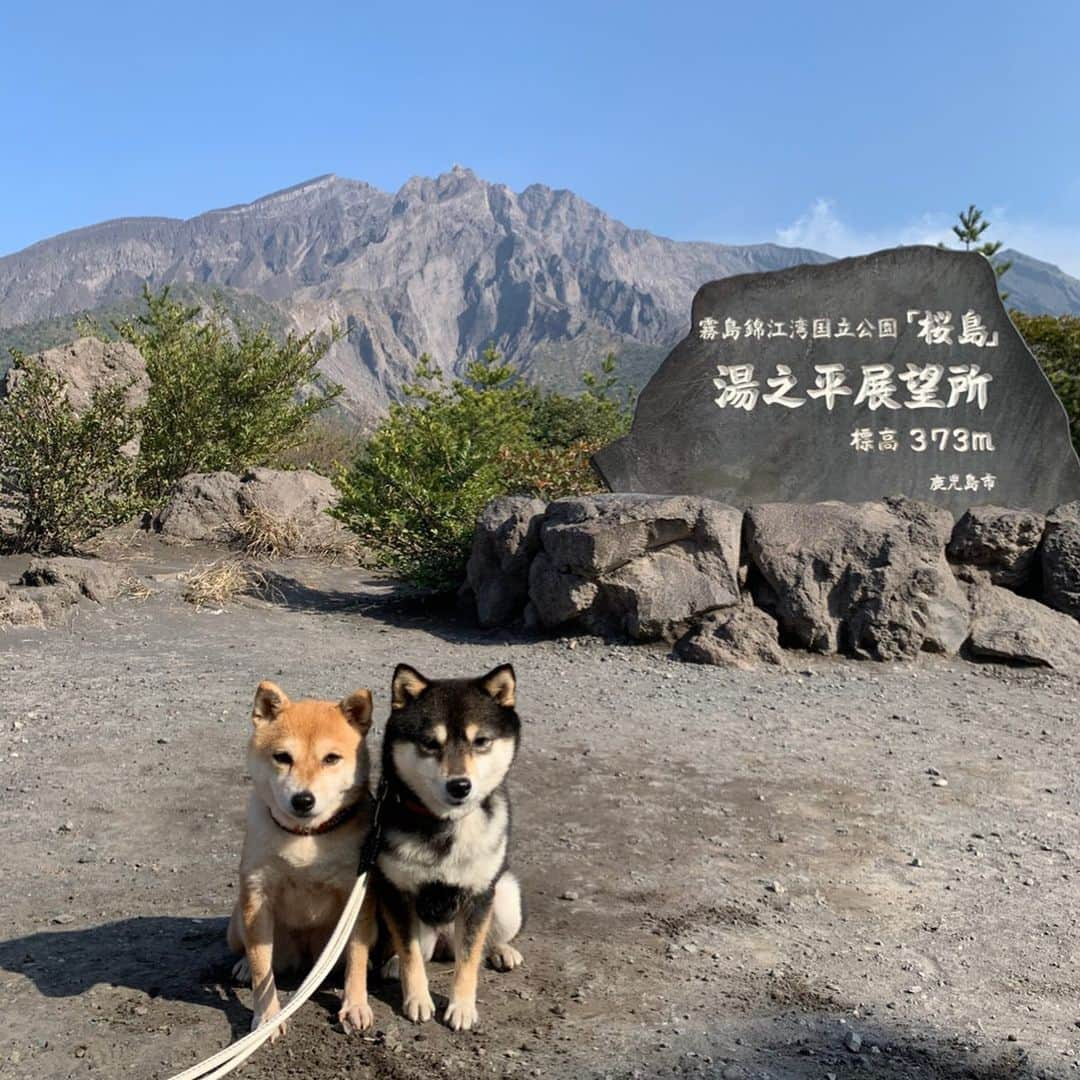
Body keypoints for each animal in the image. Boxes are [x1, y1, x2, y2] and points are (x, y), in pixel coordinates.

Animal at [373, 665, 524, 1028]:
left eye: (481, 741)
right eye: (430, 743)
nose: (460, 786)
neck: (447, 824)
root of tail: (443, 942)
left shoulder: (479, 894)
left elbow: (468, 960)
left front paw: (462, 1007)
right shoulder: (395, 891)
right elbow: (411, 954)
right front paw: (416, 998)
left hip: (507, 896)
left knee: (486, 940)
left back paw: (502, 950)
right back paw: (392, 962)